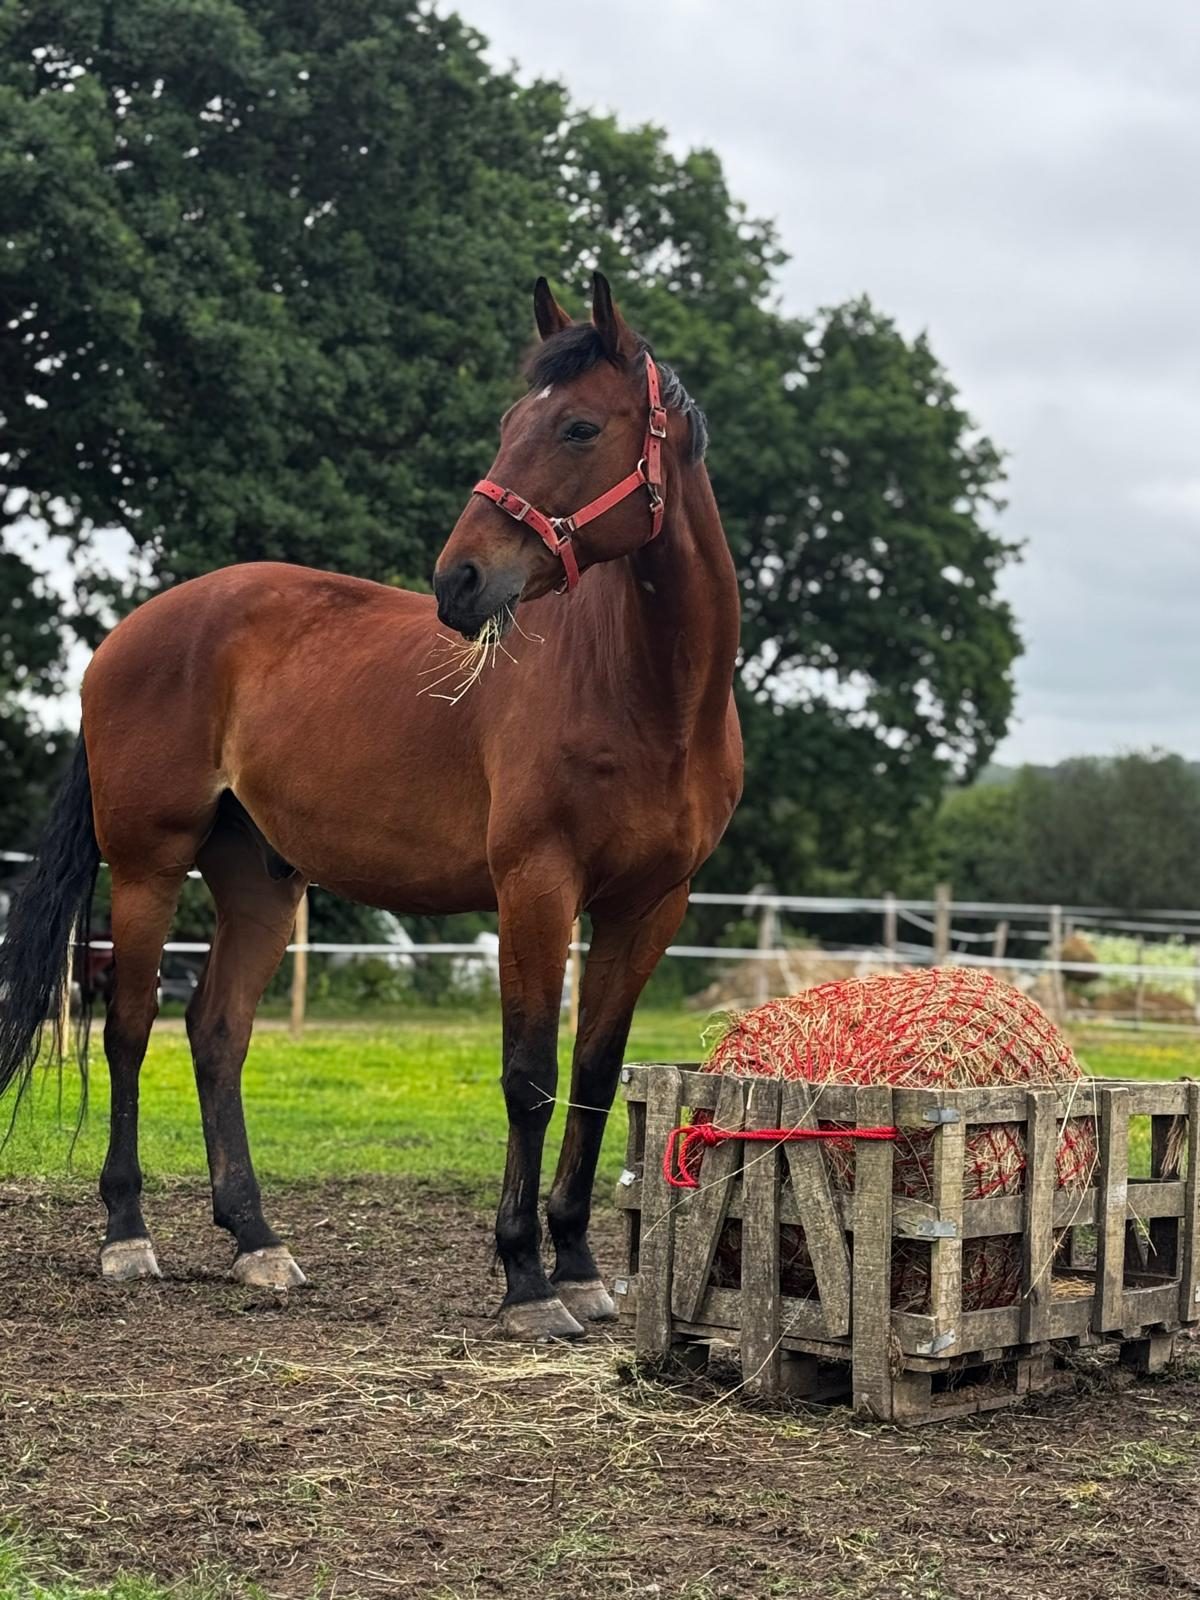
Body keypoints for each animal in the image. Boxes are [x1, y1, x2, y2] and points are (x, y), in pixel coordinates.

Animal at [0, 273, 743, 1340]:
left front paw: (580, 1268)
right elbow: (530, 1077)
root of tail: (124, 636)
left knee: (216, 1033)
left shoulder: (650, 908)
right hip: (147, 867)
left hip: (261, 882)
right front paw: (525, 1281)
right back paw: (127, 1236)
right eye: (513, 421)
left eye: (577, 427)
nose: (459, 580)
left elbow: (598, 1080)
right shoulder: (536, 890)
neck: (649, 693)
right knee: (131, 1028)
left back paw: (257, 1241)